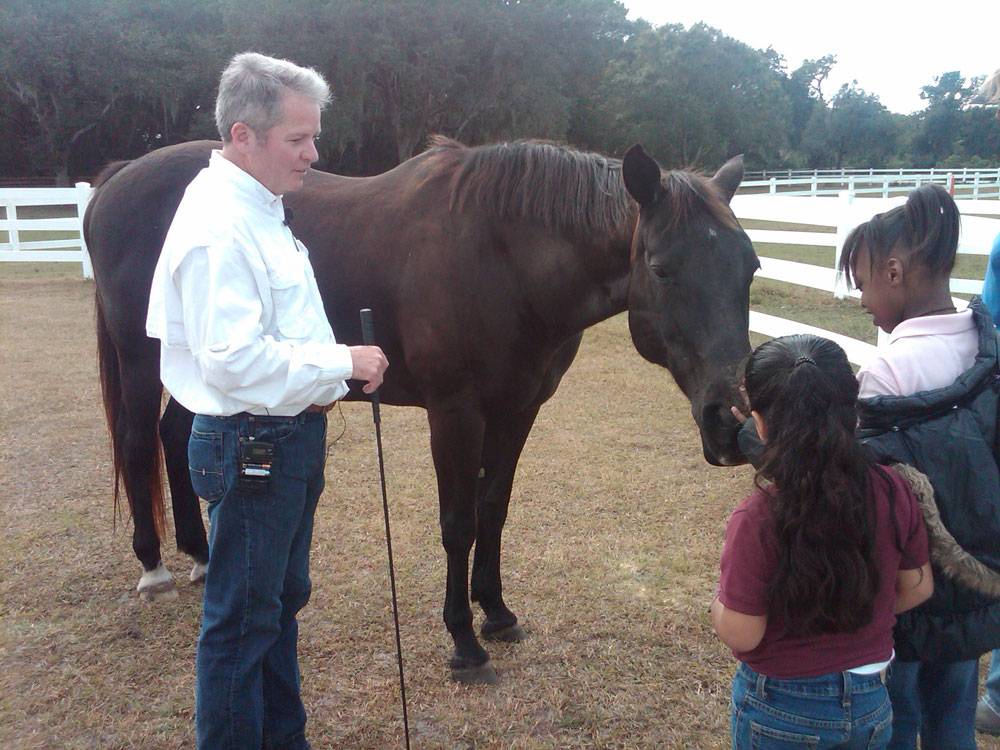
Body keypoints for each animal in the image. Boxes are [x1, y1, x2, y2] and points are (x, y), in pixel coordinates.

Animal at [84, 137, 756, 688]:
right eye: (663, 270)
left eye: (749, 268)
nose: (731, 421)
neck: (504, 256)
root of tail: (116, 178)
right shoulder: (455, 412)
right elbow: (458, 522)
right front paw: (463, 642)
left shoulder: (517, 410)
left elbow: (493, 510)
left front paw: (496, 613)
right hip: (143, 358)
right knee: (140, 439)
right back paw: (153, 566)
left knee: (175, 437)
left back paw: (199, 555)